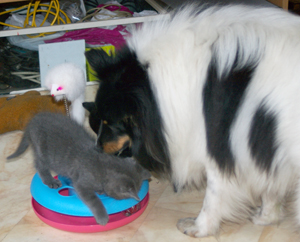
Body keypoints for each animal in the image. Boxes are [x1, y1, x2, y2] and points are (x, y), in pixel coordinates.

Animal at [7, 112, 150, 225]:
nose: (136, 198)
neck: (104, 166)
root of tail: (33, 121)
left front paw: (101, 191)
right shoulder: (82, 184)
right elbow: (94, 200)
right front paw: (102, 217)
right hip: (43, 152)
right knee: (39, 164)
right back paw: (50, 180)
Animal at [82, 3, 300, 238]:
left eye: (108, 123)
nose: (97, 149)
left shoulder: (219, 145)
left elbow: (213, 195)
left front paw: (198, 227)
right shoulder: (260, 145)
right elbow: (270, 187)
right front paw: (265, 218)